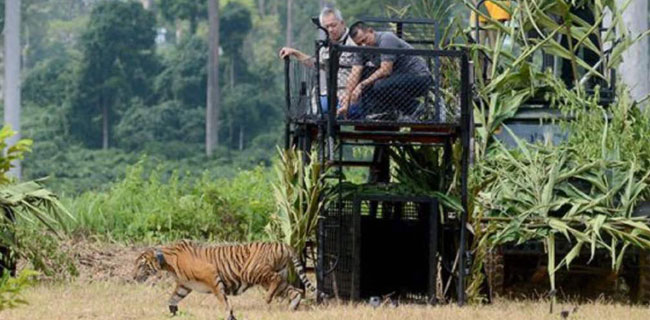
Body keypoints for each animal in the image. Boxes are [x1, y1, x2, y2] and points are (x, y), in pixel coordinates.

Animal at [132, 240, 324, 320]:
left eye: (141, 265)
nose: (133, 276)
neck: (167, 262)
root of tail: (283, 244)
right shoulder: (184, 286)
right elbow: (172, 299)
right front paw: (173, 313)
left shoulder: (211, 275)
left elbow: (222, 299)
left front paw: (229, 315)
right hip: (275, 278)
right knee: (296, 291)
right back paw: (291, 308)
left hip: (253, 272)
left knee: (277, 281)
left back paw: (268, 299)